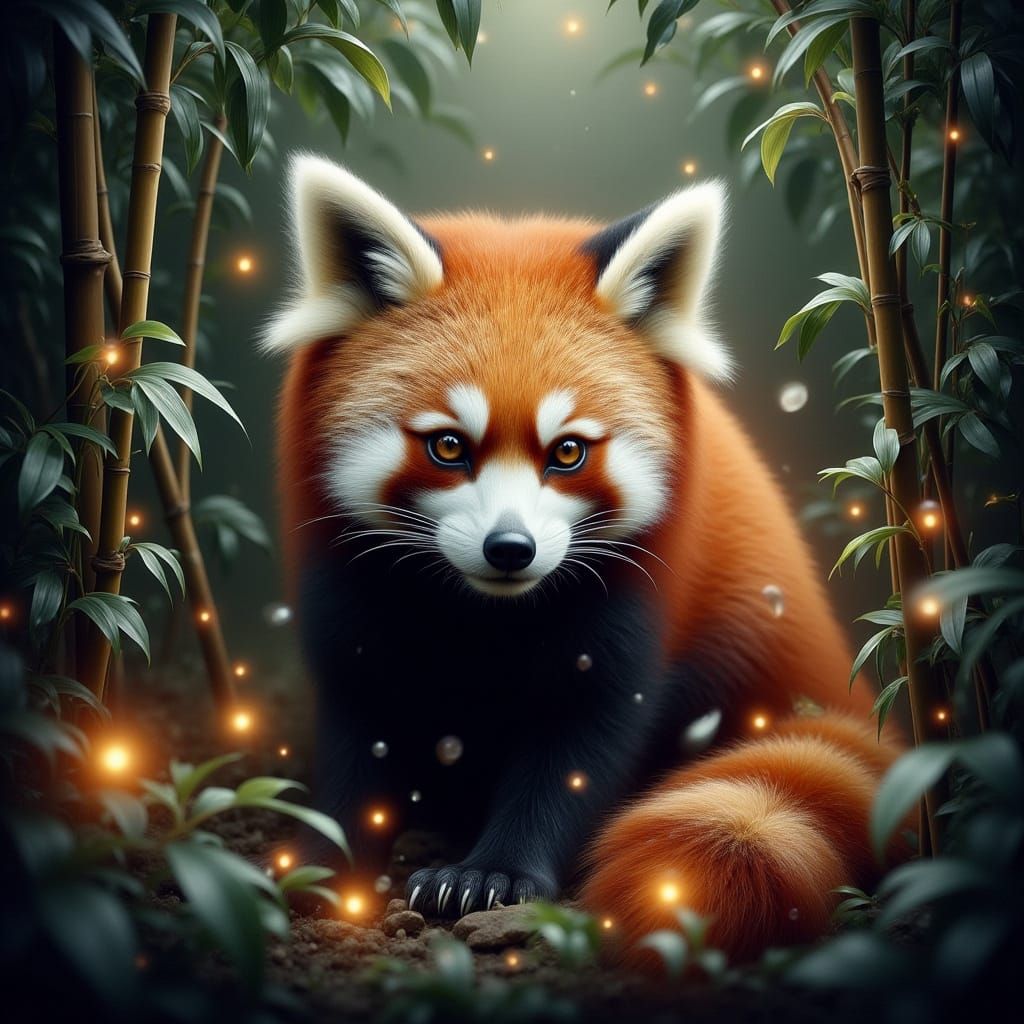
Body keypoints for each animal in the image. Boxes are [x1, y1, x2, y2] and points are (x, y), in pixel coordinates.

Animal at [263, 155, 904, 963]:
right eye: (448, 446)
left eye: (567, 452)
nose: (511, 548)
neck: (482, 612)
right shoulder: (346, 586)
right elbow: (360, 721)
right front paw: (326, 862)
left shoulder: (642, 589)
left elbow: (583, 737)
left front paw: (493, 876)